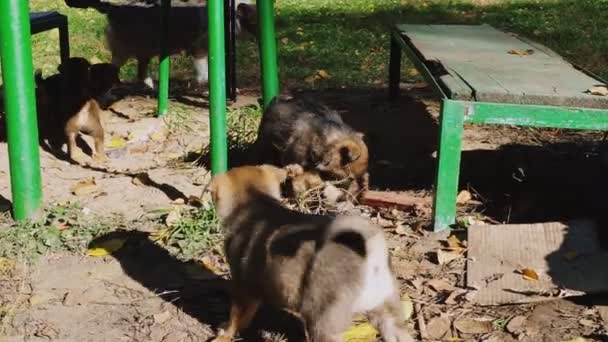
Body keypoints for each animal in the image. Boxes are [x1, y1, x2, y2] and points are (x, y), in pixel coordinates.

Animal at [209, 165, 414, 342]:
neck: (255, 202)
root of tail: (369, 254)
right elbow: (247, 315)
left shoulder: (241, 285)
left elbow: (235, 317)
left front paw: (224, 335)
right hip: (388, 316)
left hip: (323, 323)